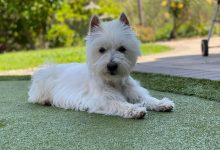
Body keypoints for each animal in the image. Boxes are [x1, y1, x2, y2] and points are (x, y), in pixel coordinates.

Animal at [28, 13, 174, 118]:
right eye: (101, 50)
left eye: (122, 49)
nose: (112, 66)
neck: (114, 82)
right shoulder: (101, 100)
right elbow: (119, 103)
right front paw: (135, 109)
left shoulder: (135, 92)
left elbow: (147, 98)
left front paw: (162, 103)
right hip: (45, 78)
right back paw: (46, 100)